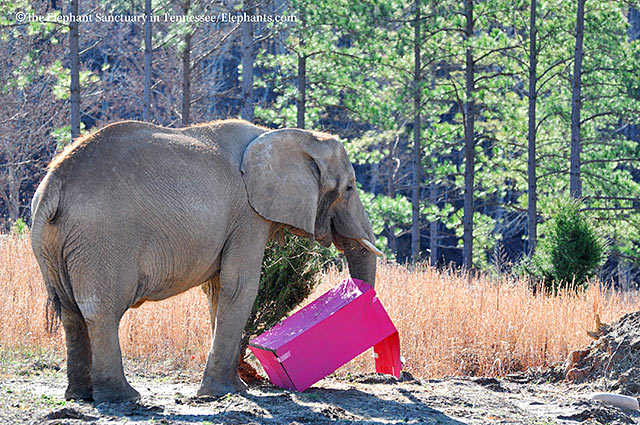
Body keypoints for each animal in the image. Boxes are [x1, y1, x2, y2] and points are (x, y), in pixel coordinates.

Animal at [30, 118, 380, 400]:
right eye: (350, 188)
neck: (287, 136)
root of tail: (53, 185)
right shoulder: (247, 214)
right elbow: (239, 286)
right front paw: (225, 393)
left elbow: (216, 290)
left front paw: (234, 388)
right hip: (102, 239)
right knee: (101, 311)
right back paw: (124, 397)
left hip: (53, 242)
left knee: (69, 311)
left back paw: (80, 396)